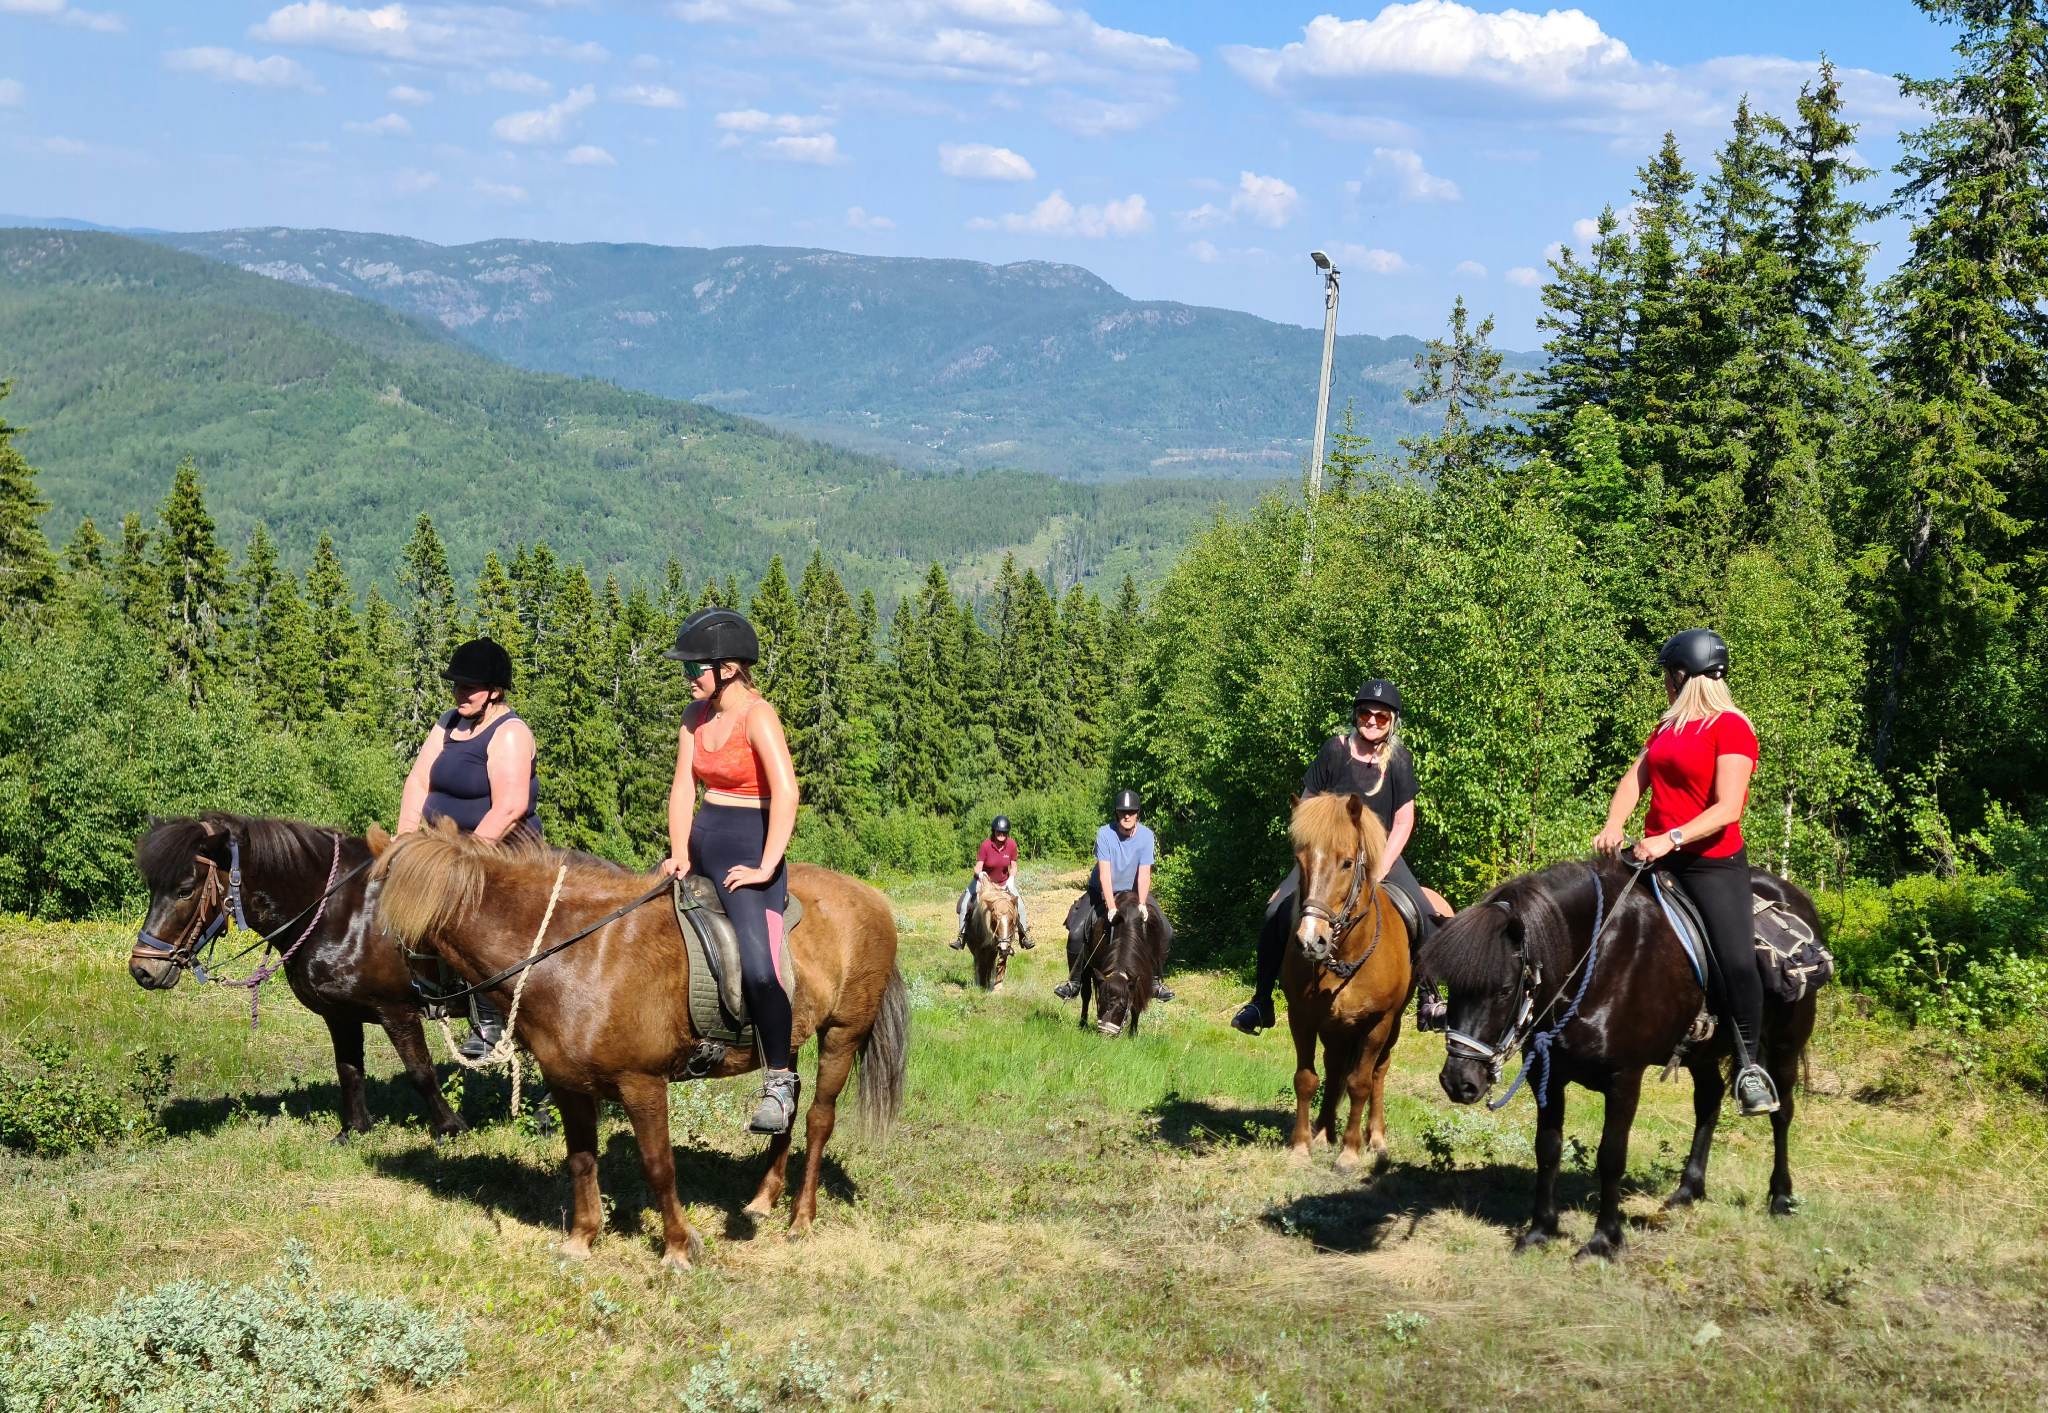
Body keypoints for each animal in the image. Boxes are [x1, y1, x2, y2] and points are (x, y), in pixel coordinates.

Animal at [134, 810, 468, 1138]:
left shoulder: (397, 1011)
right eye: (152, 888)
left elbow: (420, 1071)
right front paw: (353, 1129)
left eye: (184, 890)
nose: (142, 969)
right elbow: (348, 1069)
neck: (346, 915)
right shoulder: (340, 1014)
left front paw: (450, 1128)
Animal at [370, 819, 913, 1261]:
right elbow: (581, 1159)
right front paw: (582, 1239)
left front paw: (678, 1247)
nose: (407, 1001)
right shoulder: (568, 1084)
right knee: (788, 1107)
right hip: (788, 1038)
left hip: (842, 1034)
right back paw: (763, 1199)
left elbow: (658, 1166)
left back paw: (801, 1218)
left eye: (382, 920)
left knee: (820, 1120)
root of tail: (871, 898)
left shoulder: (643, 1084)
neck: (578, 955)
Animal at [1073, 892, 1171, 1036]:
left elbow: (1136, 1001)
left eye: (1122, 1005)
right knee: (1086, 994)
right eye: (1100, 1001)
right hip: (1086, 963)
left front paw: (1133, 1034)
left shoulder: (1141, 975)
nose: (1106, 1033)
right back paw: (1082, 1024)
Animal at [1277, 794, 1409, 1163]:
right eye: (1300, 859)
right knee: (1334, 1068)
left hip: (1391, 1025)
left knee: (1378, 1071)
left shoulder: (1378, 1022)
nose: (1311, 941)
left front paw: (1350, 1151)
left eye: (1347, 863)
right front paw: (1301, 1146)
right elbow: (1307, 1078)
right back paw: (1324, 1133)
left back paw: (1375, 1137)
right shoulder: (1302, 1017)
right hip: (1336, 1028)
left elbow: (1360, 1082)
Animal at [1425, 851, 1826, 1261]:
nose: (1459, 1082)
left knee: (1782, 1114)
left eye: (1505, 990)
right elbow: (1547, 1149)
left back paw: (1781, 1197)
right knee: (1708, 1101)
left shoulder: (1624, 1079)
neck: (1599, 959)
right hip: (1702, 1053)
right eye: (1452, 985)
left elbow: (1611, 1157)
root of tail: (1797, 899)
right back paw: (1687, 1190)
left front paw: (1603, 1240)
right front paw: (1540, 1231)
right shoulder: (1546, 1075)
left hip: (1785, 1047)